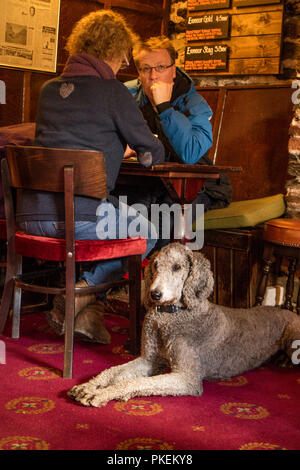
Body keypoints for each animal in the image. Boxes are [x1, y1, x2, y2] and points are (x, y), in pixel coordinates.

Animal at [68, 242, 300, 408]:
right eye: (155, 265)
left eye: (177, 267)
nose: (154, 294)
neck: (169, 316)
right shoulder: (148, 359)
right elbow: (113, 371)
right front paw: (89, 386)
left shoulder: (187, 378)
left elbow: (135, 382)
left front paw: (102, 393)